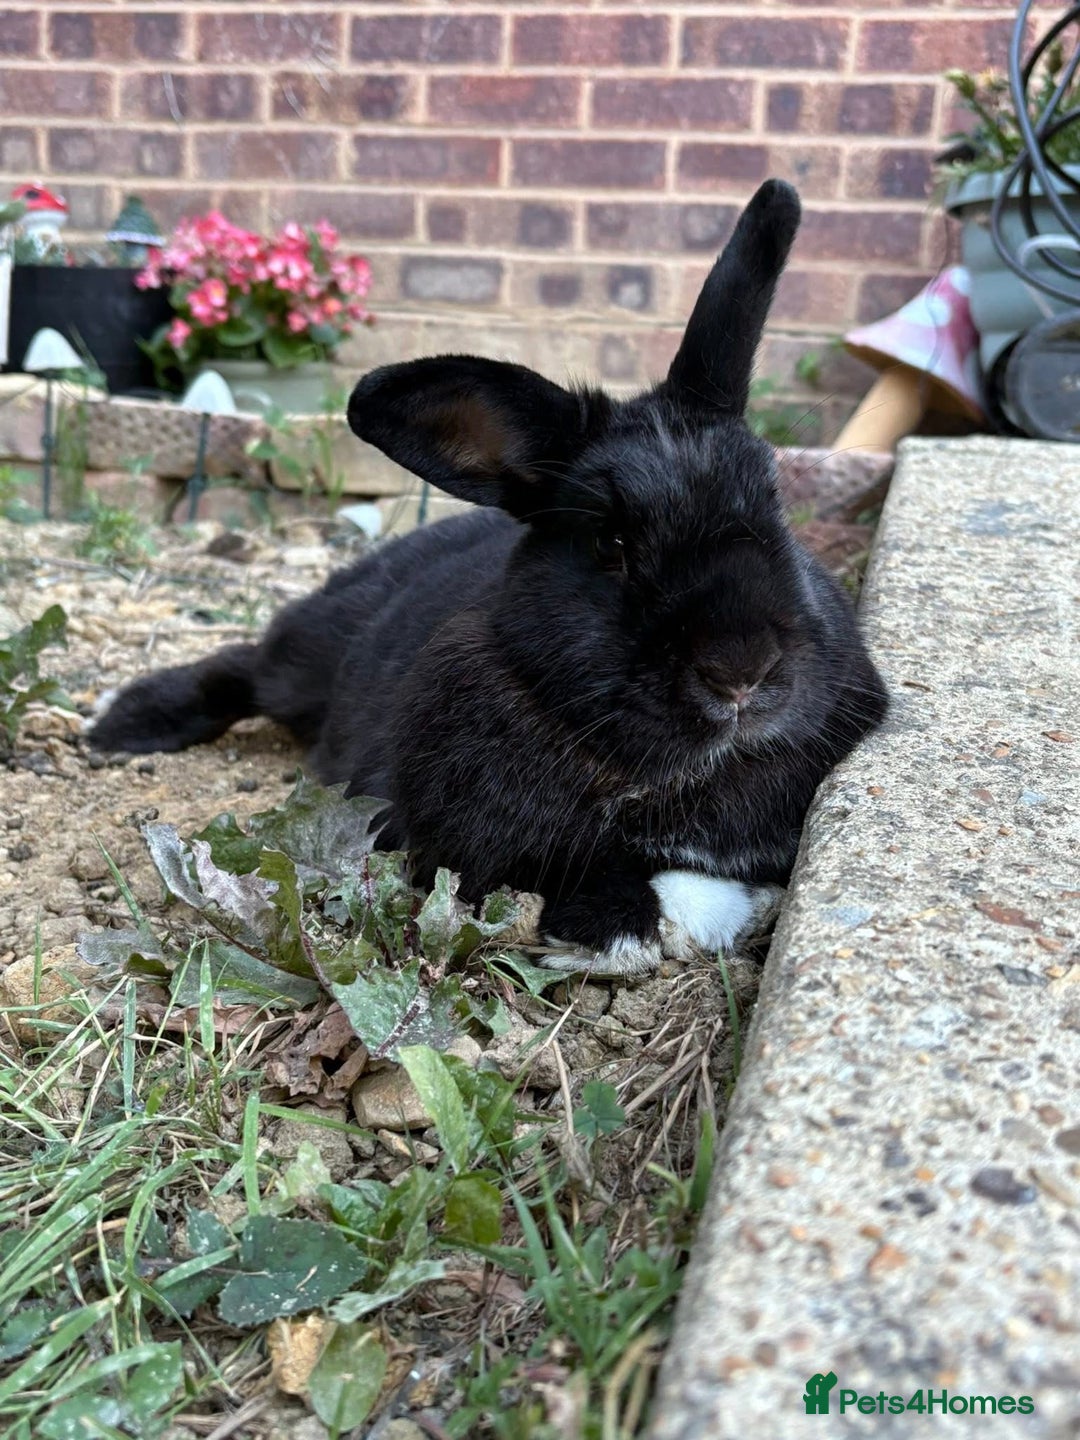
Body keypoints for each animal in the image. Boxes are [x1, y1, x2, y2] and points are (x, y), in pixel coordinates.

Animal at [90, 179, 888, 976]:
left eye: (776, 508)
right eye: (610, 541)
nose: (741, 671)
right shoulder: (462, 849)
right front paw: (645, 925)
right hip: (304, 660)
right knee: (245, 668)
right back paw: (124, 722)